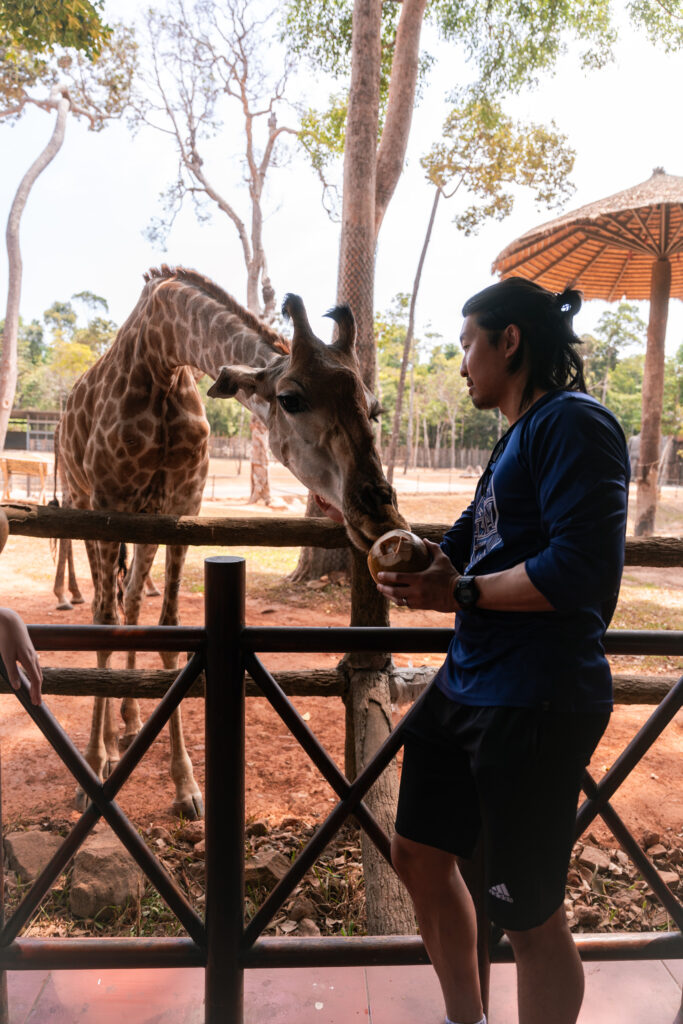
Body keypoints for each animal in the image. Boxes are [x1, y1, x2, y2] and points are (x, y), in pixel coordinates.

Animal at [58, 262, 405, 815]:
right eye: (290, 399)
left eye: (373, 410)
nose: (380, 513)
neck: (161, 356)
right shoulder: (106, 507)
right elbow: (105, 623)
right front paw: (92, 766)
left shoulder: (180, 507)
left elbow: (170, 629)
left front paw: (186, 785)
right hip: (79, 499)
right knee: (103, 608)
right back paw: (109, 745)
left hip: (141, 519)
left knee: (131, 600)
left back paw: (129, 723)